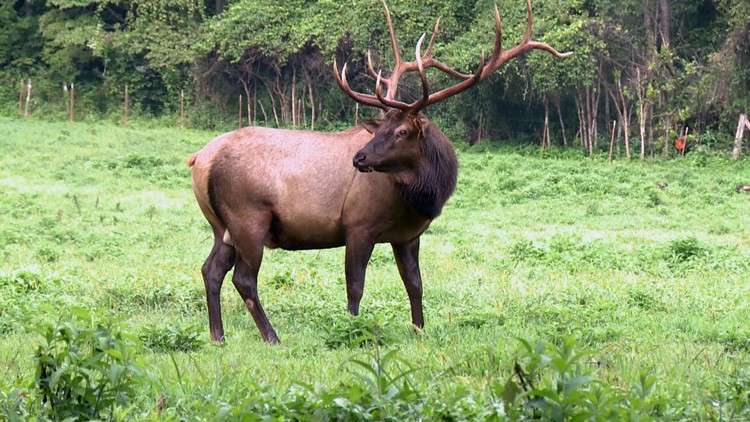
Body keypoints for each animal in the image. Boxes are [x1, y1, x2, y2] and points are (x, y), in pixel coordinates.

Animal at [188, 0, 570, 343]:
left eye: (400, 131)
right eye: (381, 127)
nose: (359, 158)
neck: (419, 198)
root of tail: (200, 158)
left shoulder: (408, 235)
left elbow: (415, 284)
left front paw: (419, 330)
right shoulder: (358, 225)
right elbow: (355, 286)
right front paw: (351, 330)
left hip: (220, 225)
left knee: (211, 270)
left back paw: (218, 336)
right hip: (249, 216)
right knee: (243, 278)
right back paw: (271, 337)